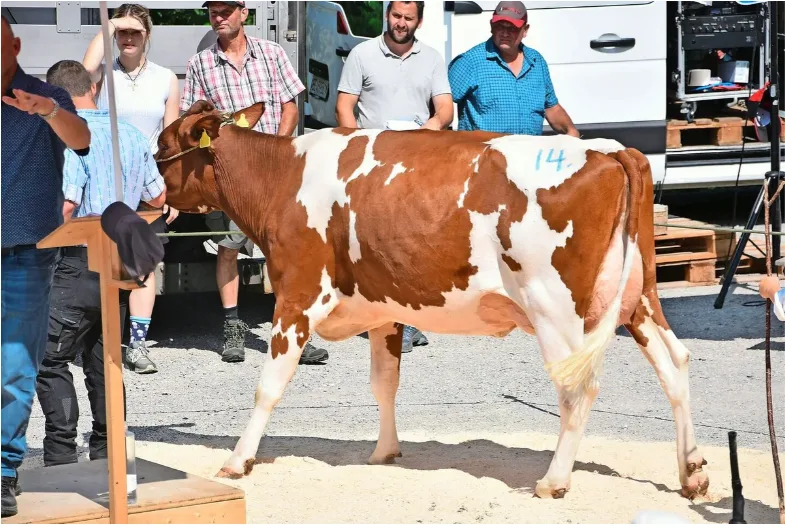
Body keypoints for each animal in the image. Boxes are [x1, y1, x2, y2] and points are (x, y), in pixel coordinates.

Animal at [154, 100, 709, 500]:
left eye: (161, 146)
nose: (151, 195)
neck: (282, 177)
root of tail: (611, 149)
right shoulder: (383, 307)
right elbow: (385, 383)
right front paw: (384, 452)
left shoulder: (298, 295)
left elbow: (269, 384)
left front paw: (237, 460)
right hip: (637, 299)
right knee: (675, 363)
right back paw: (692, 471)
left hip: (555, 307)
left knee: (578, 389)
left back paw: (554, 481)